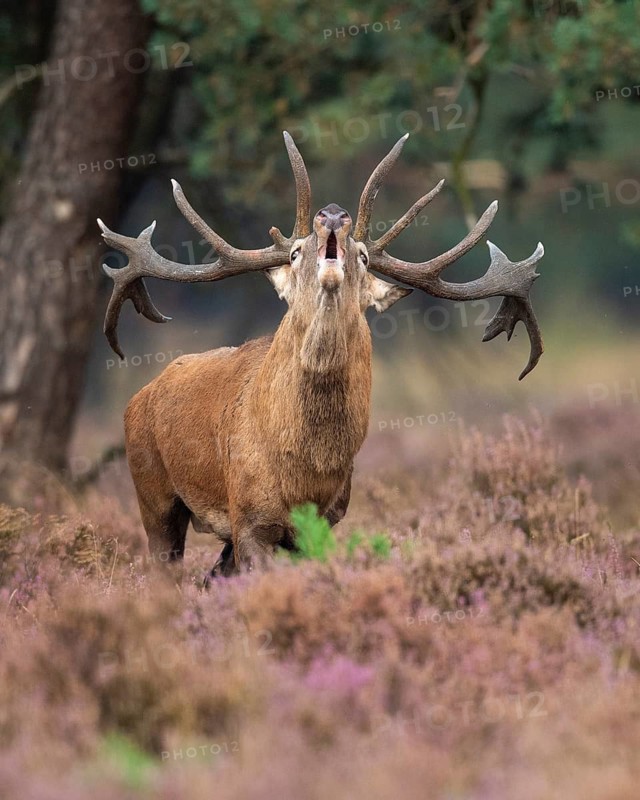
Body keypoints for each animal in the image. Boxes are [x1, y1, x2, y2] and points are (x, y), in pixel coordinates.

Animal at [98, 132, 544, 578]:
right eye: (295, 253)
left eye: (364, 256)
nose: (331, 214)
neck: (306, 475)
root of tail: (138, 398)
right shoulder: (248, 517)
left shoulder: (326, 519)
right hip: (153, 491)